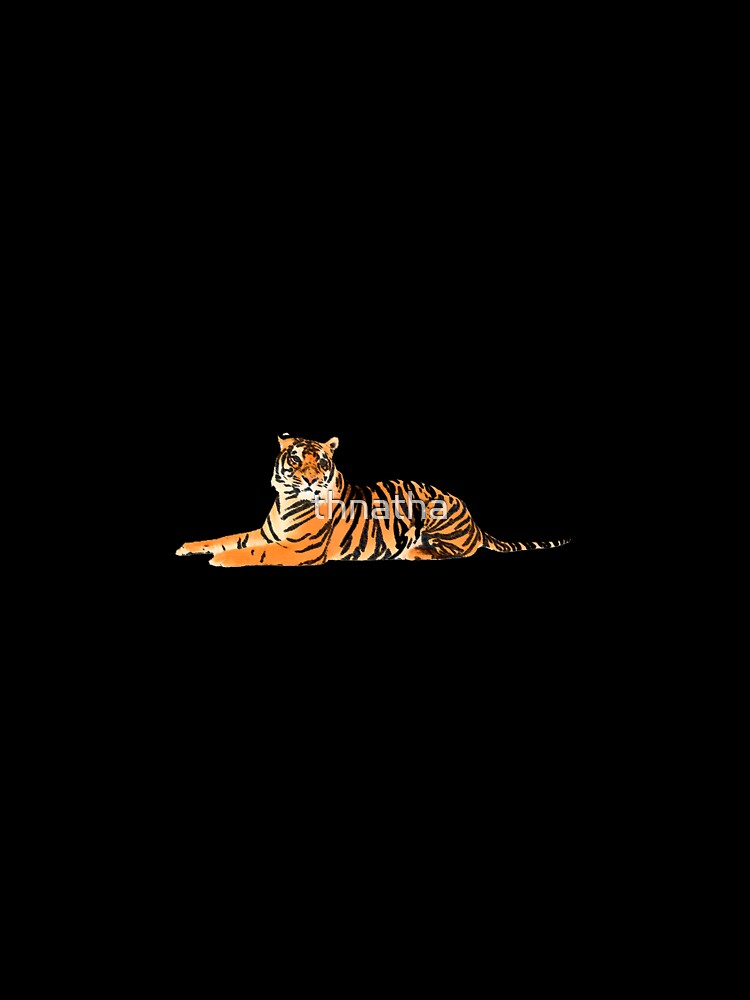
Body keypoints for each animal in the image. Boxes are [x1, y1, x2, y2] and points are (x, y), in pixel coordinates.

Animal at [175, 434, 570, 567]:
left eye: (321, 462)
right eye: (296, 459)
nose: (311, 479)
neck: (287, 500)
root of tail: (475, 520)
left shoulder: (297, 549)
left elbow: (253, 553)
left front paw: (219, 561)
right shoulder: (267, 533)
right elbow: (227, 538)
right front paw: (189, 547)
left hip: (436, 512)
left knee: (460, 551)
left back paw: (414, 552)